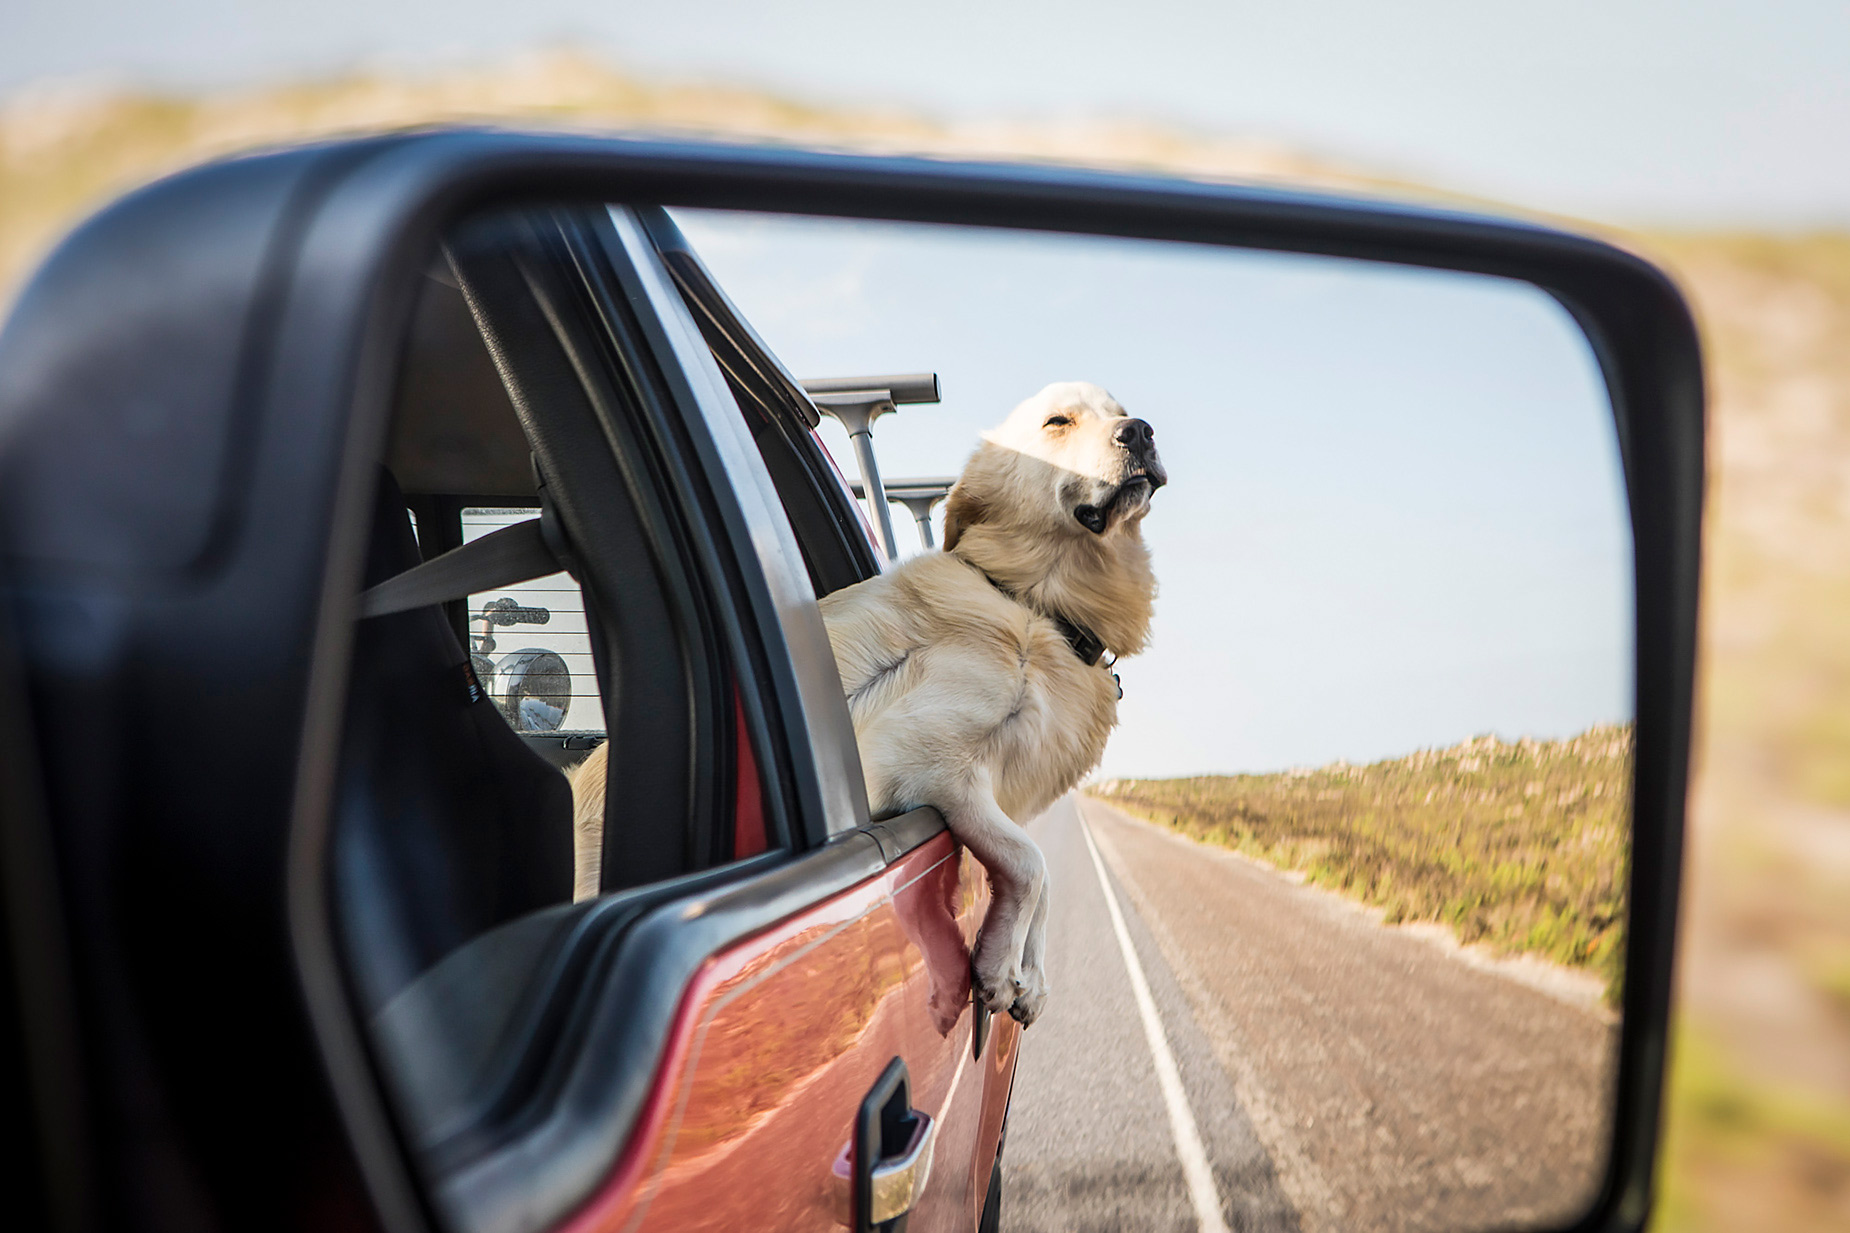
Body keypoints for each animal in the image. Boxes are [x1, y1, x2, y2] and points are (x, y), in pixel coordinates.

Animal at [569, 379, 1161, 1021]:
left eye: (1119, 410)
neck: (1033, 604)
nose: (1141, 431)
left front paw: (1032, 975)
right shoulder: (925, 760)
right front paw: (1002, 967)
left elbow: (1042, 875)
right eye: (1058, 422)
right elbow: (1030, 862)